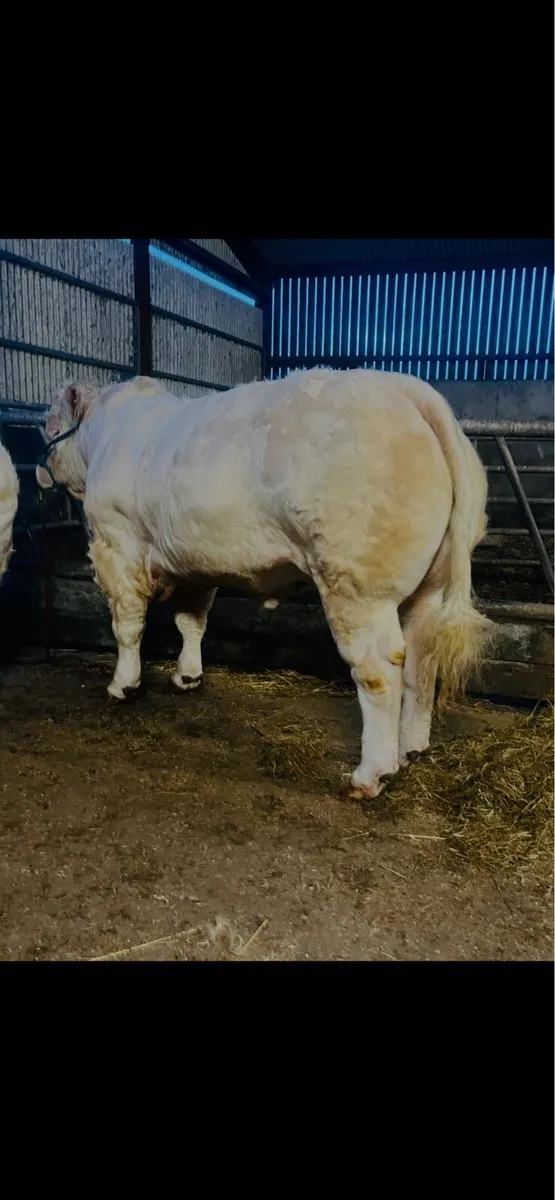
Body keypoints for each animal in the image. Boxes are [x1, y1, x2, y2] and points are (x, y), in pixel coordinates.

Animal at [36, 369, 491, 800]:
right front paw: (187, 676)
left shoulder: (117, 544)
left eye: (48, 420)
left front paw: (122, 685)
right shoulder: (195, 564)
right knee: (422, 658)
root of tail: (410, 391)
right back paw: (412, 746)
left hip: (357, 586)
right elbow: (191, 622)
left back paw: (371, 775)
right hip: (429, 588)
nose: (45, 464)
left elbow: (128, 625)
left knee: (379, 670)